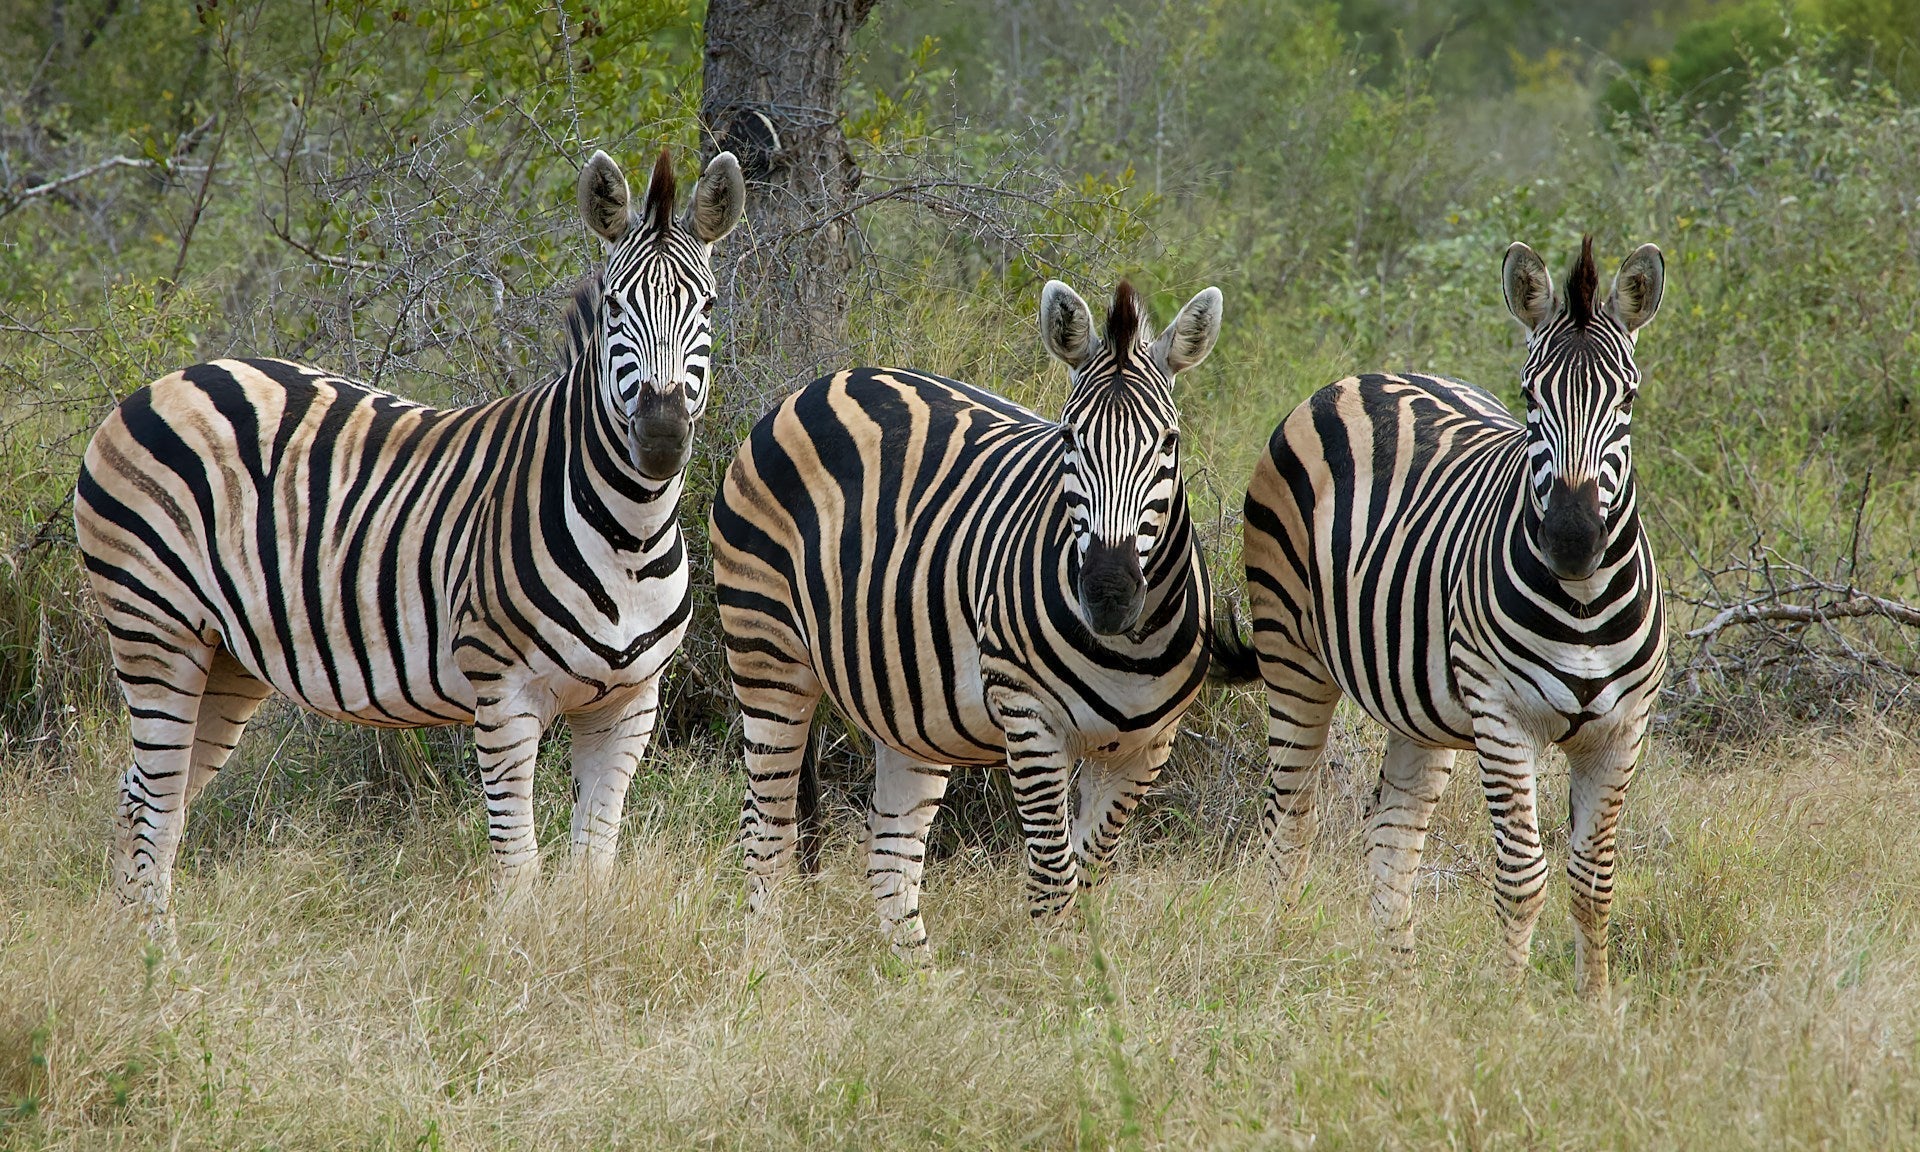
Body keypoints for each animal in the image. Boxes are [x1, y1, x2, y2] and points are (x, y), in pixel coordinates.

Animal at [75, 148, 745, 930]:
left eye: (708, 307)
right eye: (614, 306)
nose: (662, 438)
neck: (628, 536)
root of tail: (168, 380)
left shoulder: (629, 703)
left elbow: (592, 867)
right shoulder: (504, 691)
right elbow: (519, 868)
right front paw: (515, 953)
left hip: (226, 657)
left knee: (145, 797)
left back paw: (130, 944)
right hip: (154, 627)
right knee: (153, 805)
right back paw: (161, 952)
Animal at [709, 279, 1223, 959]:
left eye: (1169, 443)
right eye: (1068, 438)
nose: (1109, 594)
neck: (1127, 650)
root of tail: (823, 382)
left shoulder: (1146, 748)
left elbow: (1089, 872)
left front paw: (1087, 970)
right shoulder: (1030, 720)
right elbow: (1054, 879)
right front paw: (1061, 980)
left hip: (908, 703)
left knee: (889, 855)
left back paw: (917, 977)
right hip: (765, 651)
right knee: (766, 831)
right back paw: (763, 965)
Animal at [1213, 237, 1667, 997]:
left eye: (1628, 398)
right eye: (1530, 396)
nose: (1572, 539)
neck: (1582, 603)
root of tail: (1367, 375)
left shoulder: (1621, 729)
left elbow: (1594, 883)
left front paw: (1596, 1006)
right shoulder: (1502, 714)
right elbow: (1523, 878)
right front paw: (1512, 1008)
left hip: (1416, 705)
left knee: (1389, 836)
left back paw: (1402, 991)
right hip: (1291, 654)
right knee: (1290, 820)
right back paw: (1273, 956)